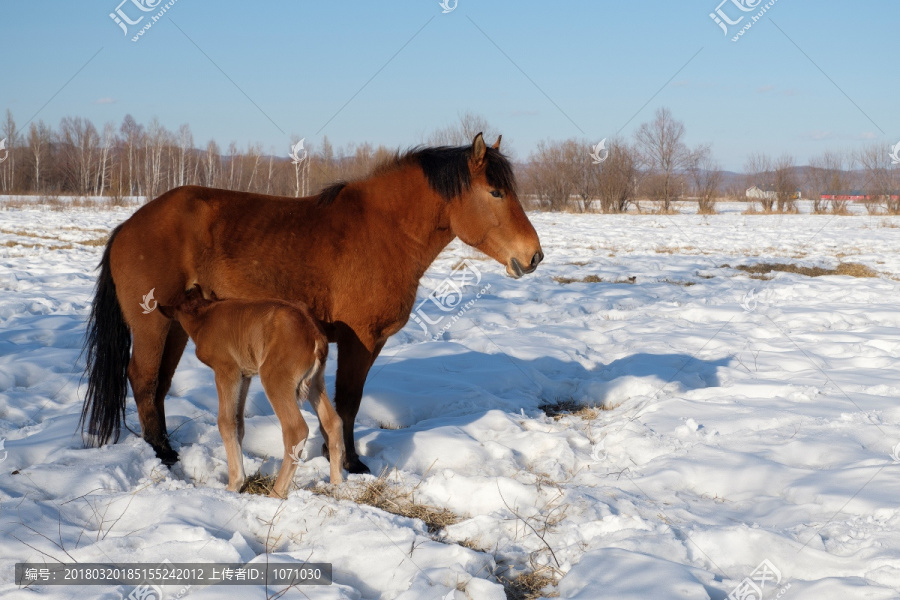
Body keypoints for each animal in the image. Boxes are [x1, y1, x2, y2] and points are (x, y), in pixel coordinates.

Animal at [82, 132, 540, 474]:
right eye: (495, 192)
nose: (534, 256)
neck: (382, 231)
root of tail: (129, 225)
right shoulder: (361, 341)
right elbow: (348, 401)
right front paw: (351, 462)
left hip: (176, 325)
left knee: (159, 384)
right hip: (152, 326)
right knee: (142, 379)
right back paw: (161, 452)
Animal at [158, 286, 344, 496]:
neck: (204, 317)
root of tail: (314, 333)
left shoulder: (227, 370)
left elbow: (226, 421)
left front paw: (233, 484)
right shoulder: (245, 375)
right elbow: (239, 423)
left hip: (275, 378)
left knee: (296, 429)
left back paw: (276, 493)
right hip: (316, 382)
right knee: (333, 421)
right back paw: (336, 485)